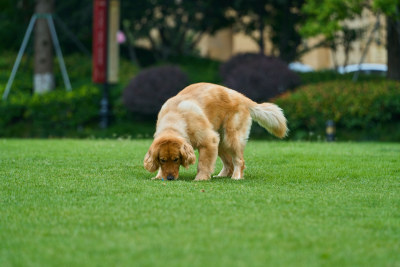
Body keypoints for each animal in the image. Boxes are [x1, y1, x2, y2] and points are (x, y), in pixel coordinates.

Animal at [144, 82, 288, 181]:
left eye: (176, 159)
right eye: (162, 160)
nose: (169, 178)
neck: (174, 118)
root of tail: (242, 97)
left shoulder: (208, 141)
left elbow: (203, 163)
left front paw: (201, 178)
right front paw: (158, 176)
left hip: (230, 138)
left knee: (239, 161)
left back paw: (236, 176)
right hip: (221, 141)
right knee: (229, 163)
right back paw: (222, 175)